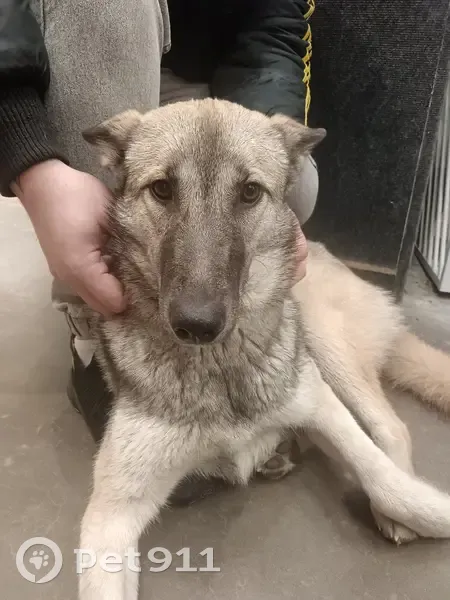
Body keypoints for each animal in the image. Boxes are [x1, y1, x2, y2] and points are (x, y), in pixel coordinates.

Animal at [79, 99, 450, 600]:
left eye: (250, 193)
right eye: (162, 190)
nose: (197, 324)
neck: (219, 366)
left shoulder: (322, 407)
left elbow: (387, 481)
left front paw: (409, 506)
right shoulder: (110, 515)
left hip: (321, 337)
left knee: (391, 428)